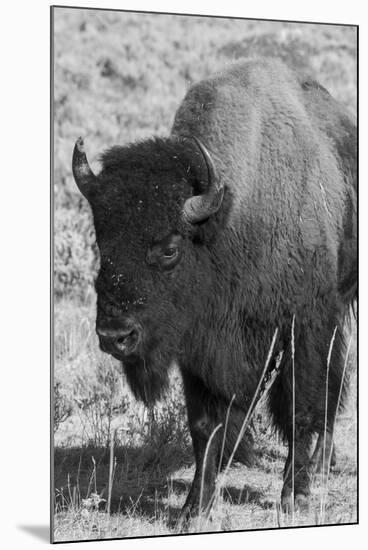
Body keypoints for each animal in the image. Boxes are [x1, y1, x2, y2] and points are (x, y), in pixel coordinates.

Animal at [72, 59, 356, 520]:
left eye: (169, 249)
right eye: (101, 242)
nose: (115, 336)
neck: (231, 217)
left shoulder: (303, 327)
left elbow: (299, 408)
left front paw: (293, 496)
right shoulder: (199, 342)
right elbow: (205, 423)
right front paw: (193, 507)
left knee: (332, 384)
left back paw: (320, 466)